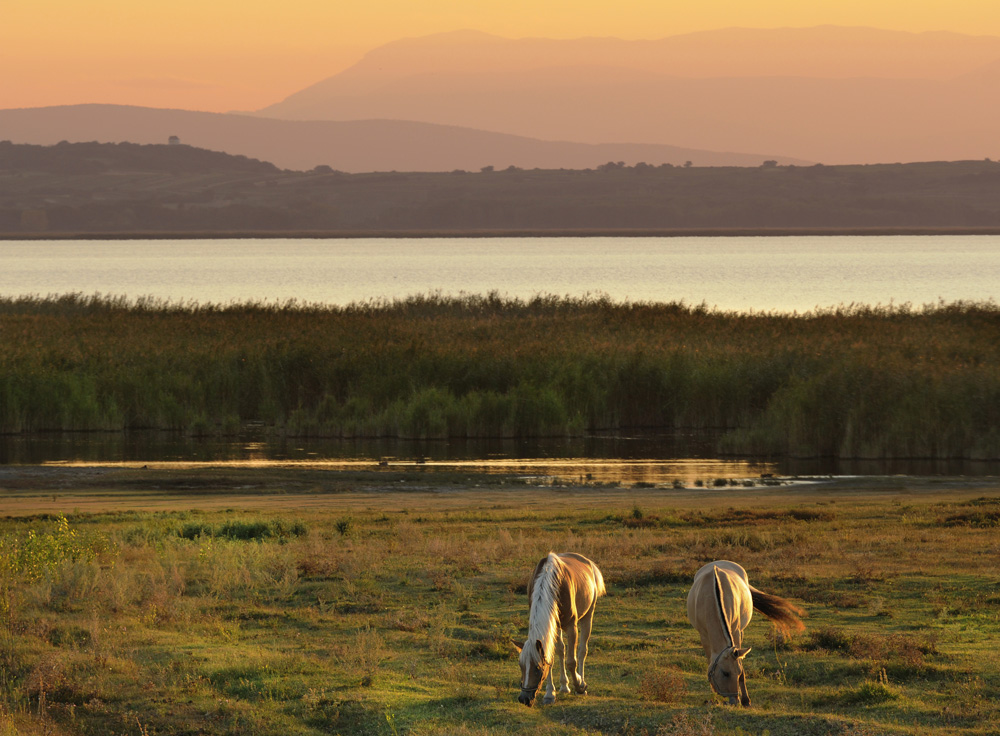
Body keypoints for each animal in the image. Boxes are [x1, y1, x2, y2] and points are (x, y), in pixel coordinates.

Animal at [512, 552, 604, 708]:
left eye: (537, 668)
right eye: (521, 666)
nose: (524, 698)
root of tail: (587, 562)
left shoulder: (571, 627)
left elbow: (571, 661)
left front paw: (579, 686)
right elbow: (551, 657)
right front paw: (550, 694)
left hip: (588, 616)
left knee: (582, 651)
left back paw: (581, 682)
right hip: (556, 626)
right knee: (561, 650)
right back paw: (564, 686)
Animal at [688, 556, 804, 708]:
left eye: (737, 673)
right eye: (725, 673)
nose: (734, 700)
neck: (713, 595)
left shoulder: (736, 632)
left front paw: (746, 700)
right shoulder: (704, 636)